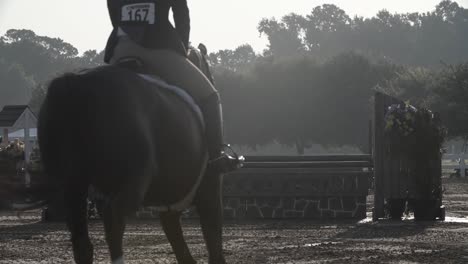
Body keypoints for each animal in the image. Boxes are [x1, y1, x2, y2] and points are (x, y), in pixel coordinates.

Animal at [38, 60, 227, 262]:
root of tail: (75, 82)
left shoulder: (169, 205)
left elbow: (182, 248)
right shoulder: (209, 192)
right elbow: (213, 239)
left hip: (73, 184)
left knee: (82, 240)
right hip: (134, 179)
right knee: (113, 216)